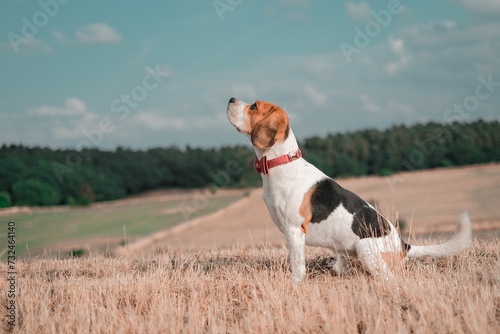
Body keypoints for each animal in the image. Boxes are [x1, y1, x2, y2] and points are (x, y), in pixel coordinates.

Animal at [227, 97, 472, 282]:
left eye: (254, 106)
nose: (231, 99)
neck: (281, 162)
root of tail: (404, 246)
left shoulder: (294, 231)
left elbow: (297, 267)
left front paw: (294, 285)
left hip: (365, 249)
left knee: (389, 279)